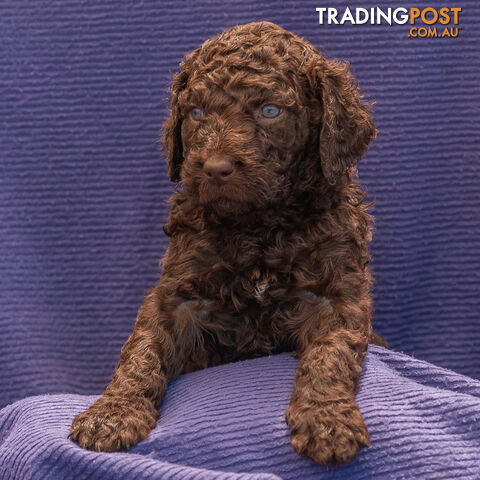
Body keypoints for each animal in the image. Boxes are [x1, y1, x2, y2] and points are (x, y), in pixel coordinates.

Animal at [69, 21, 384, 464]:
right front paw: (112, 413)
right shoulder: (177, 295)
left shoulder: (335, 294)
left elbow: (330, 353)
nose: (215, 169)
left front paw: (327, 420)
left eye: (270, 111)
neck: (258, 227)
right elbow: (142, 350)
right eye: (196, 114)